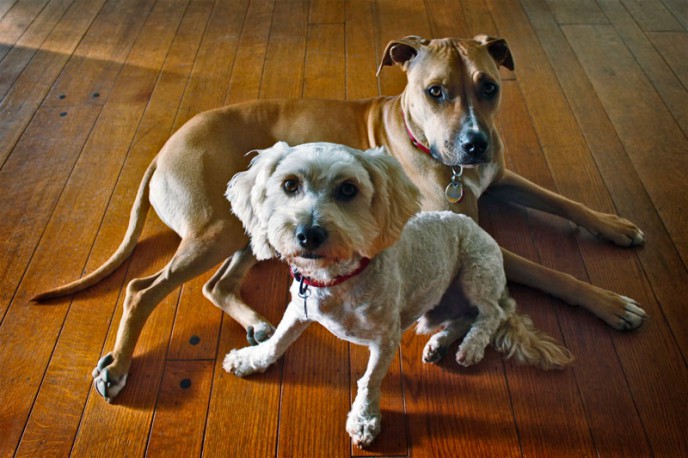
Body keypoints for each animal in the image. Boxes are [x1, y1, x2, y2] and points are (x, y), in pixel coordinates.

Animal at [32, 35, 644, 400]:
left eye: (489, 87)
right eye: (436, 91)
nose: (475, 144)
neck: (432, 151)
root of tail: (161, 150)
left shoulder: (500, 177)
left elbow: (563, 201)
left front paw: (616, 225)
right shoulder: (472, 227)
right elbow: (550, 271)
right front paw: (613, 303)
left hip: (250, 232)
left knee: (214, 285)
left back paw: (256, 324)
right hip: (219, 229)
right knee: (142, 290)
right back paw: (118, 366)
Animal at [223, 143, 572, 448]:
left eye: (348, 189)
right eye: (290, 184)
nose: (308, 234)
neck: (337, 279)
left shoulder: (386, 339)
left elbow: (370, 380)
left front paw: (364, 419)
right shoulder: (298, 310)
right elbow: (277, 342)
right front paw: (251, 359)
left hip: (476, 270)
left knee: (490, 314)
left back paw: (471, 347)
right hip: (443, 300)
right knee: (465, 316)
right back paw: (439, 343)